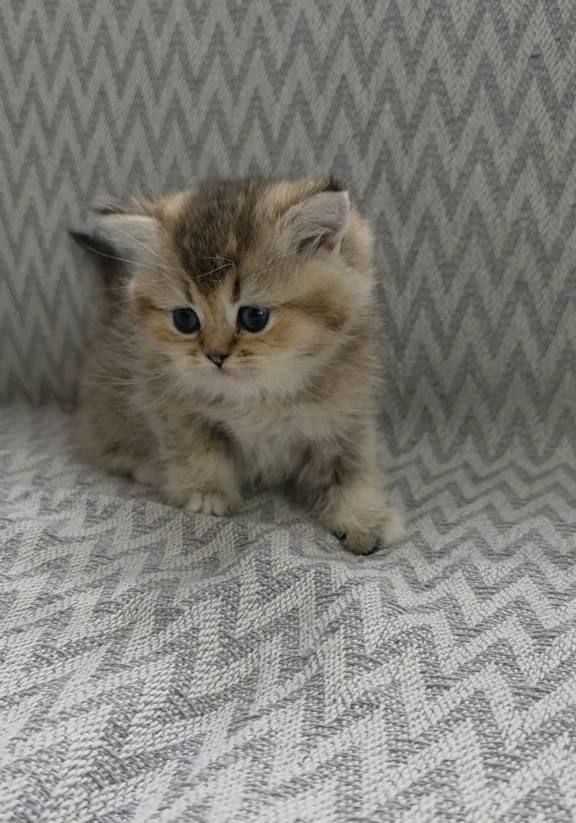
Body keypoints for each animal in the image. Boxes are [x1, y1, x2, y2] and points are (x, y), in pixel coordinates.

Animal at [72, 176, 403, 554]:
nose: (215, 355)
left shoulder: (345, 415)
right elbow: (197, 451)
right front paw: (205, 494)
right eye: (185, 319)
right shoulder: (174, 406)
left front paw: (366, 518)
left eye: (254, 316)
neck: (259, 396)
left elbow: (350, 470)